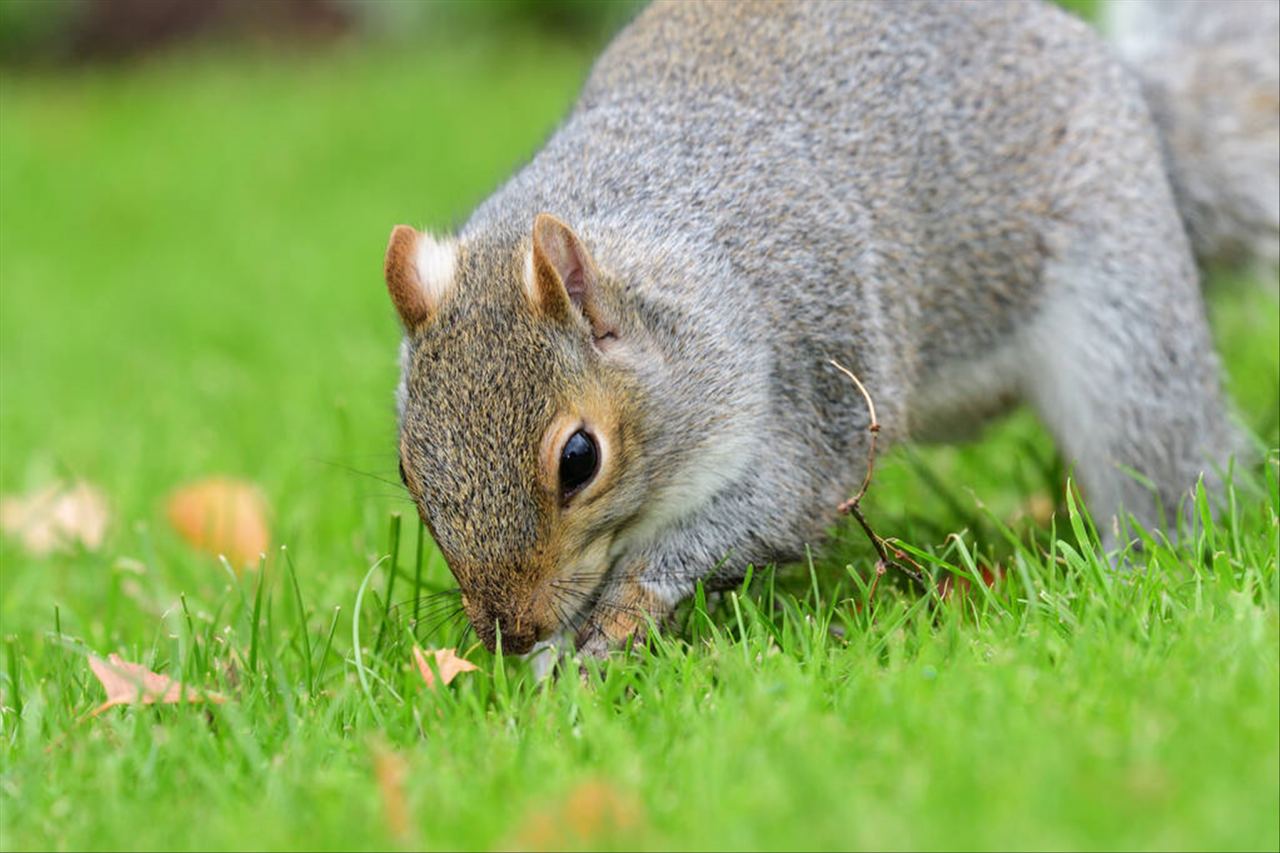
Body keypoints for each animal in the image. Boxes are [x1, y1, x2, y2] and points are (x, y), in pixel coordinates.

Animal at [378, 0, 1280, 655]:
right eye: (408, 470)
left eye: (579, 459)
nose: (507, 630)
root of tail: (1134, 91)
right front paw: (553, 657)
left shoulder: (811, 385)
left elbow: (763, 513)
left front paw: (624, 612)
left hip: (1123, 321)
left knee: (1168, 455)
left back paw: (1144, 568)